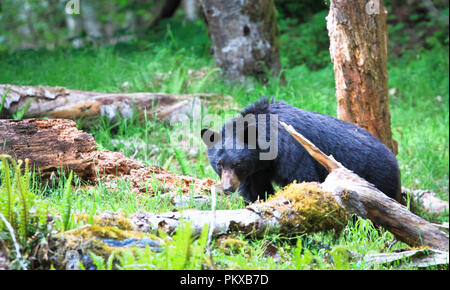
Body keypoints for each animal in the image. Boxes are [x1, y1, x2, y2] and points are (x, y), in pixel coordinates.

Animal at [200, 98, 400, 203]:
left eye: (237, 163)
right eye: (219, 164)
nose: (228, 187)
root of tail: (393, 157)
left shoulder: (290, 149)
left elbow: (301, 177)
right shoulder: (256, 170)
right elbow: (255, 189)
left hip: (377, 177)